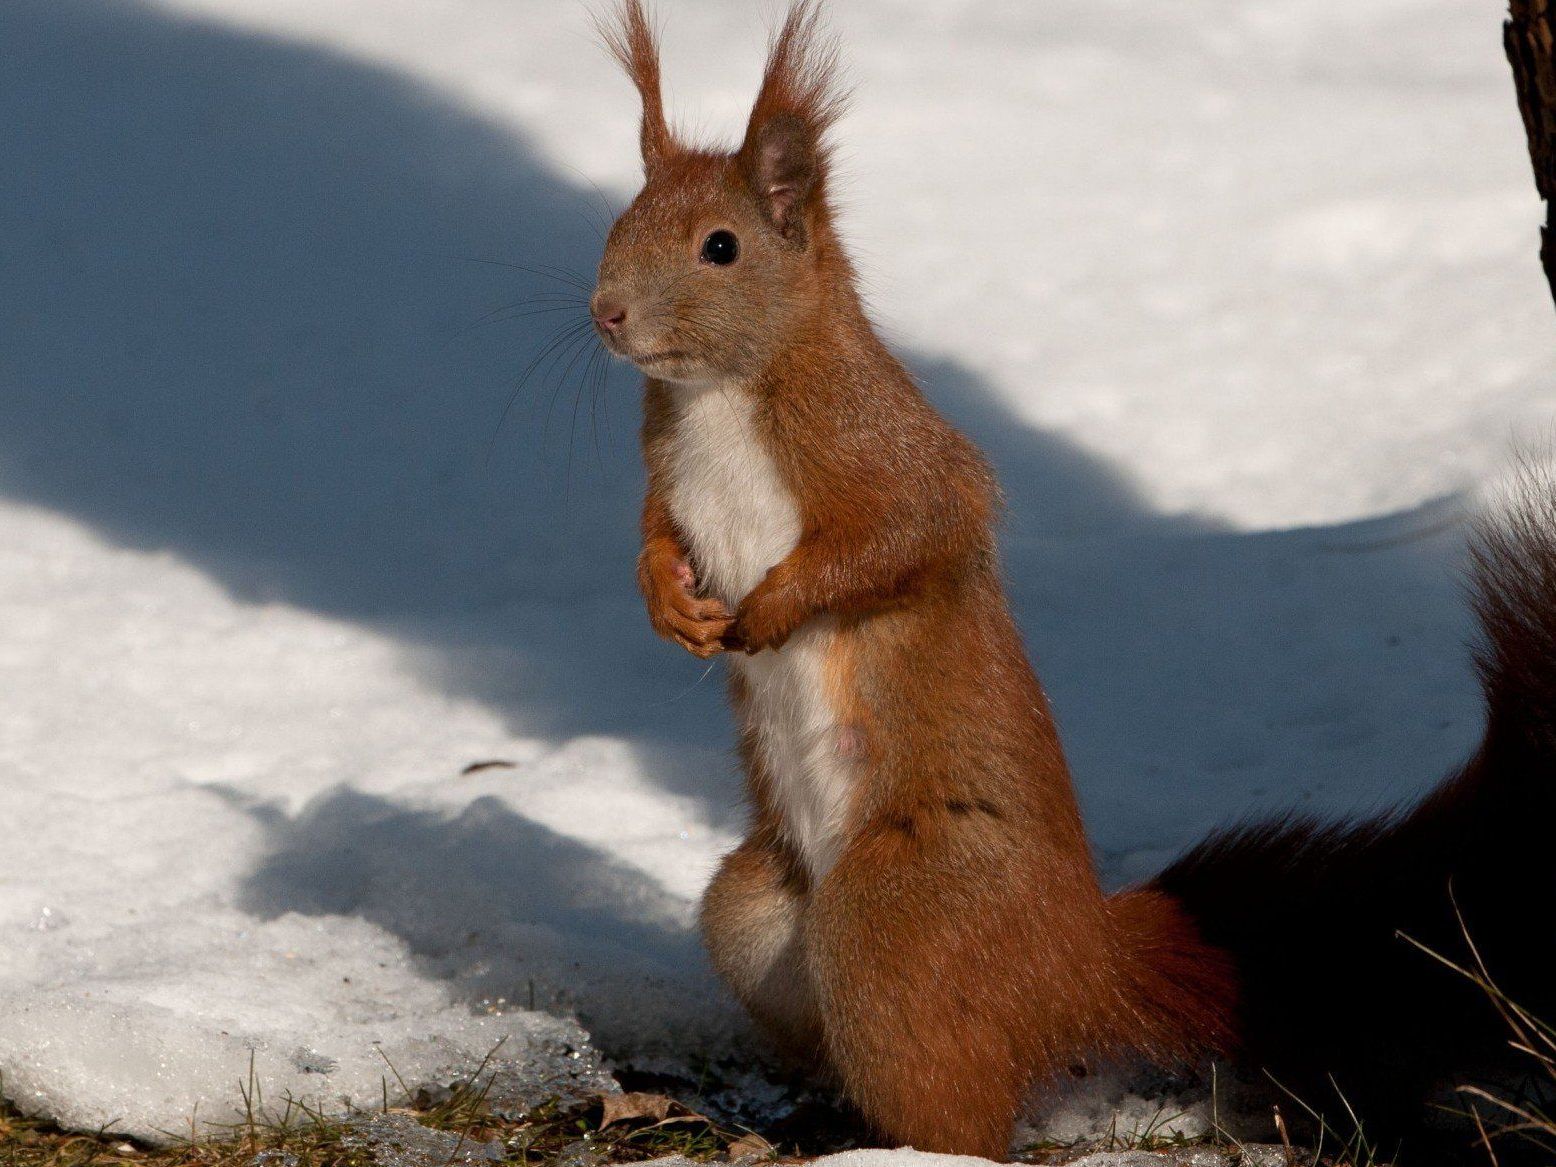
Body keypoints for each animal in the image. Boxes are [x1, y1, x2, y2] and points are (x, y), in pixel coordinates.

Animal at [585, 0, 1556, 1157]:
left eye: (720, 248)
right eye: (621, 219)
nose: (604, 313)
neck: (723, 394)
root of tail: (1077, 965)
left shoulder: (891, 454)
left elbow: (900, 536)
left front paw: (773, 606)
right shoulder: (666, 476)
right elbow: (650, 535)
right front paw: (664, 603)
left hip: (897, 917)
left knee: (958, 1106)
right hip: (759, 920)